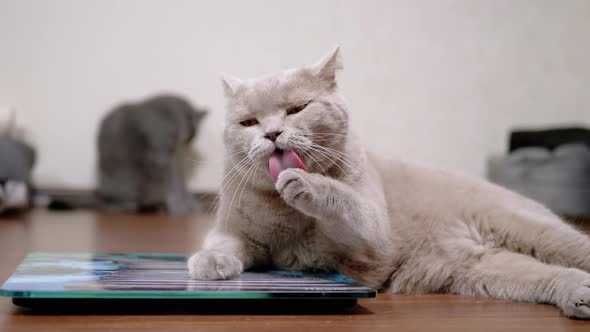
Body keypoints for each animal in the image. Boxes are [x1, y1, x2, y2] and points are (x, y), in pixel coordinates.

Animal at [188, 48, 590, 318]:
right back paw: (577, 293)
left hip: (534, 231)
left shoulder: (371, 240)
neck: (285, 213)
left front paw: (307, 184)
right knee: (547, 275)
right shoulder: (237, 232)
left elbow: (346, 202)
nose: (271, 134)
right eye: (248, 123)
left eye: (297, 109)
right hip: (480, 272)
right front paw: (209, 262)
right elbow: (224, 243)